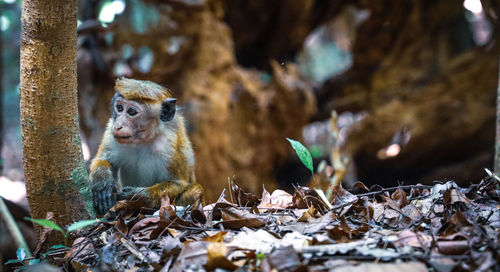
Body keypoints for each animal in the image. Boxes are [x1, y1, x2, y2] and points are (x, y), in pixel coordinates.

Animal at [88, 77, 203, 215]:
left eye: (131, 111)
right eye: (119, 108)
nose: (118, 126)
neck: (143, 140)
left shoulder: (171, 146)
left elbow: (178, 183)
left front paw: (136, 195)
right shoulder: (111, 130)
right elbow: (102, 159)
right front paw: (102, 183)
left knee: (195, 190)